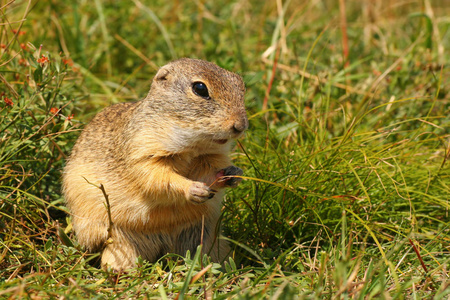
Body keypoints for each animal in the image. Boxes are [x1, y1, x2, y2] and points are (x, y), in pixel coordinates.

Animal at [62, 57, 248, 270]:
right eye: (200, 88)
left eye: (240, 84)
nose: (241, 126)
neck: (193, 146)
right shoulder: (144, 152)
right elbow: (158, 178)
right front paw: (194, 189)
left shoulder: (211, 157)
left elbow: (210, 173)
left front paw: (234, 174)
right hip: (121, 243)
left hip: (210, 241)